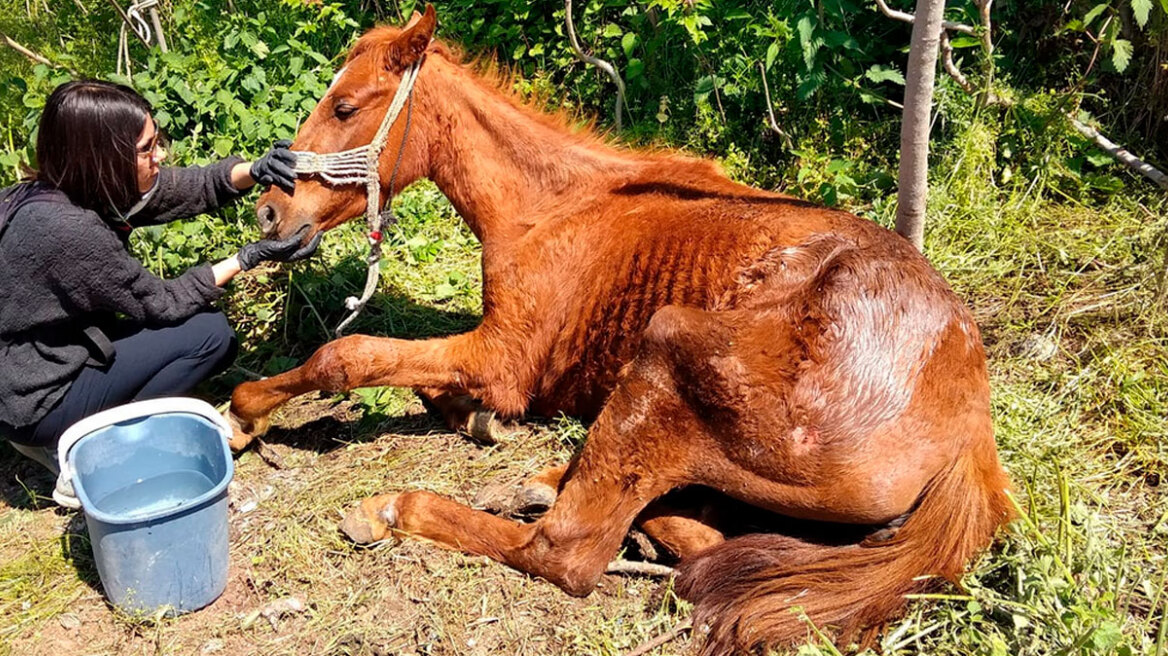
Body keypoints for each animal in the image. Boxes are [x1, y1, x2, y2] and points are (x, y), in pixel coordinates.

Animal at [225, 7, 1013, 648]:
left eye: (345, 106)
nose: (268, 213)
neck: (551, 207)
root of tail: (970, 431)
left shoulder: (505, 357)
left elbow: (349, 353)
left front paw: (245, 411)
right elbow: (418, 381)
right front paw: (477, 420)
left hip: (667, 345)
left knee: (565, 551)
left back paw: (401, 507)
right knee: (701, 535)